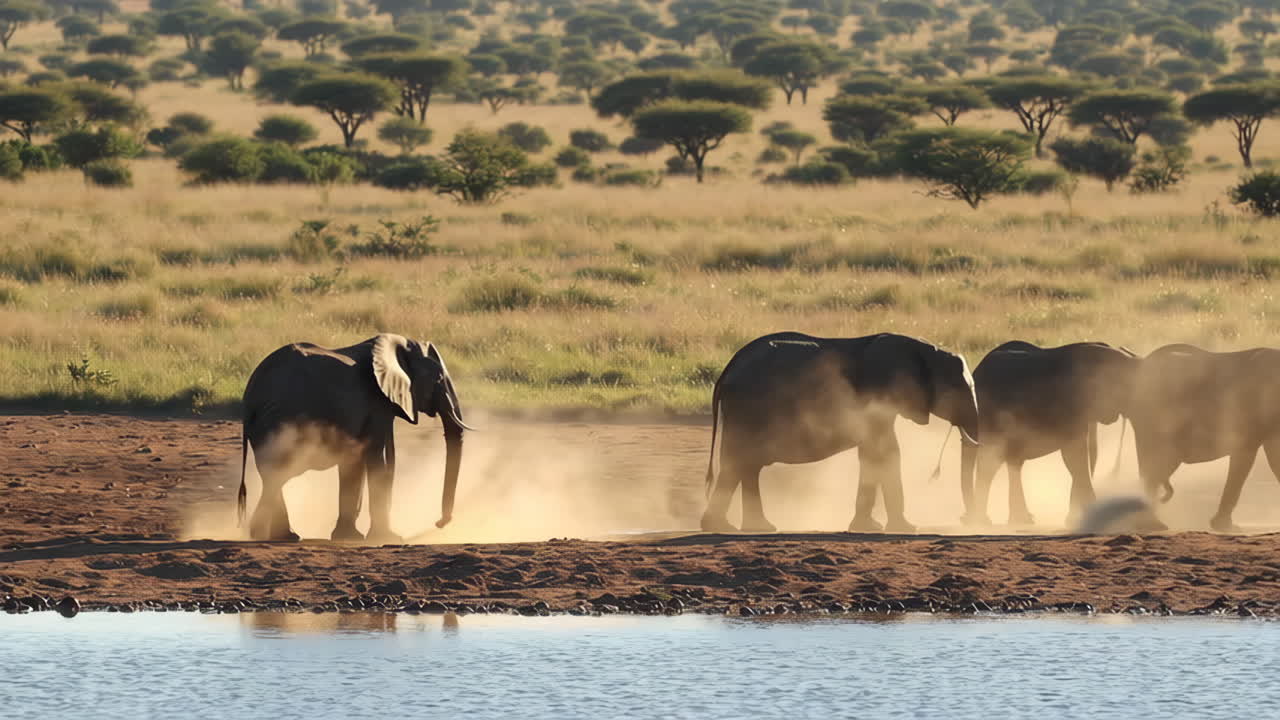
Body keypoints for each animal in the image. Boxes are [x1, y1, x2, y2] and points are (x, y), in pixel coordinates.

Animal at [237, 333, 469, 543]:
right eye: (439, 379)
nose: (439, 523)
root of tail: (251, 395)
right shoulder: (377, 403)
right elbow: (379, 458)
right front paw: (388, 538)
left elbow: (356, 461)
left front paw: (350, 537)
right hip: (284, 420)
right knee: (279, 472)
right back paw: (265, 533)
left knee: (272, 474)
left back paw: (280, 536)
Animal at [701, 331, 980, 534]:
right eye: (958, 390)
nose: (965, 518)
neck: (925, 348)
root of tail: (727, 369)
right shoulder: (880, 394)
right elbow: (887, 451)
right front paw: (907, 529)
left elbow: (873, 453)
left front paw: (869, 528)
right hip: (747, 408)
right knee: (740, 464)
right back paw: (726, 527)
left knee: (746, 467)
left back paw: (755, 528)